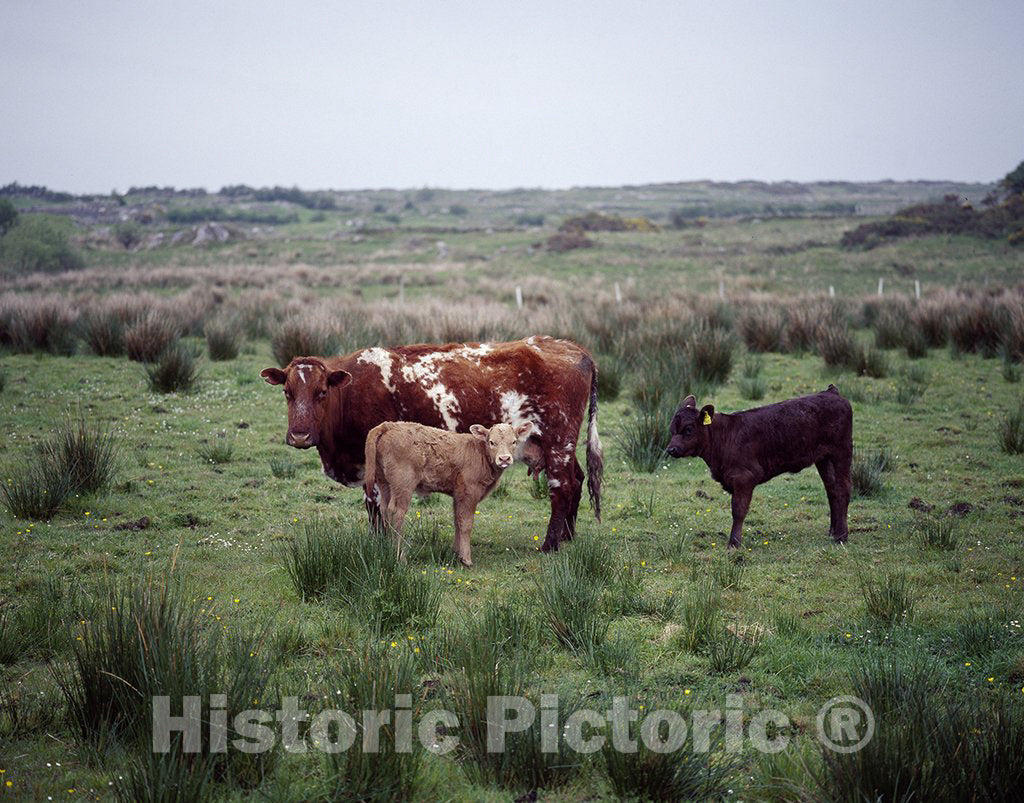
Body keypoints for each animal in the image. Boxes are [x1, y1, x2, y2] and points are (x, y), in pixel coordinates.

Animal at [362, 419, 536, 565]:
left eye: (514, 441)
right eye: (492, 442)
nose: (504, 459)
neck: (480, 454)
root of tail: (388, 425)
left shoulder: (458, 494)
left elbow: (457, 521)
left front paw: (456, 552)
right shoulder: (469, 491)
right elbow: (466, 523)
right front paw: (466, 559)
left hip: (385, 483)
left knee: (384, 510)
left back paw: (387, 550)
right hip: (403, 484)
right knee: (396, 513)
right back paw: (400, 557)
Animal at [667, 385, 851, 548]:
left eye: (689, 428)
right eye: (671, 429)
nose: (671, 449)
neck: (724, 438)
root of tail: (831, 392)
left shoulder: (744, 478)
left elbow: (738, 510)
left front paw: (734, 543)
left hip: (841, 451)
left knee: (843, 489)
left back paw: (841, 536)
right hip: (824, 458)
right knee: (832, 490)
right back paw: (832, 531)